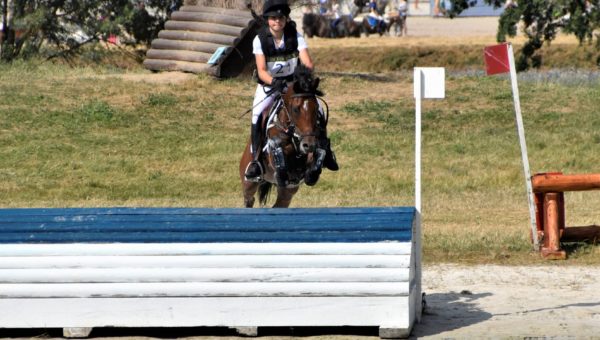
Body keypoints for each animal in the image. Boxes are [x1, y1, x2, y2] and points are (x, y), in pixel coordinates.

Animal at [238, 63, 326, 207]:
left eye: (315, 108)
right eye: (296, 109)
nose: (308, 144)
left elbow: (318, 153)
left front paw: (311, 174)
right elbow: (279, 151)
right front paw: (283, 172)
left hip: (287, 193)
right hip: (249, 182)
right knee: (249, 199)